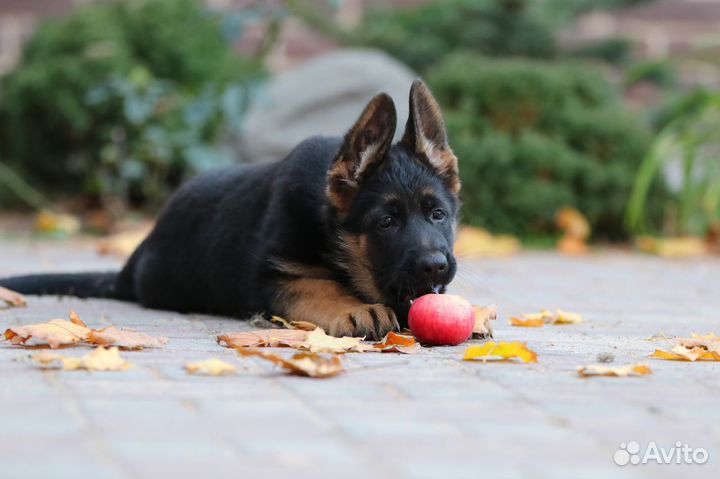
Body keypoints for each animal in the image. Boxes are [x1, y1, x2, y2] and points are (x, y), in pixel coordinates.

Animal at [1, 80, 462, 340]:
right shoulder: (272, 277)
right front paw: (354, 307)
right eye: (386, 222)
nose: (436, 267)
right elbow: (318, 286)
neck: (325, 222)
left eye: (438, 214)